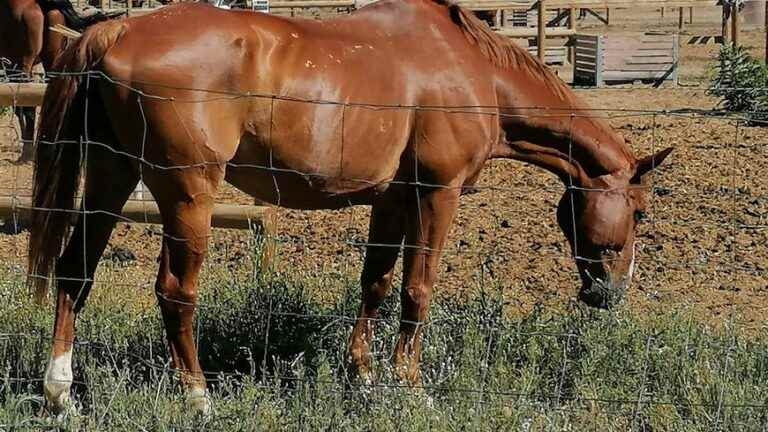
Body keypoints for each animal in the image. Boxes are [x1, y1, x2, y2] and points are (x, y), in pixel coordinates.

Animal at [28, 0, 672, 418]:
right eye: (640, 212)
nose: (610, 293)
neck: (471, 70)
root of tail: (116, 31)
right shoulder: (437, 194)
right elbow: (417, 289)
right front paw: (410, 386)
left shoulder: (391, 200)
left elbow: (376, 285)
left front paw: (361, 376)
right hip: (188, 196)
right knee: (174, 291)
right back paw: (198, 395)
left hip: (111, 178)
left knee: (75, 273)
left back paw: (60, 390)